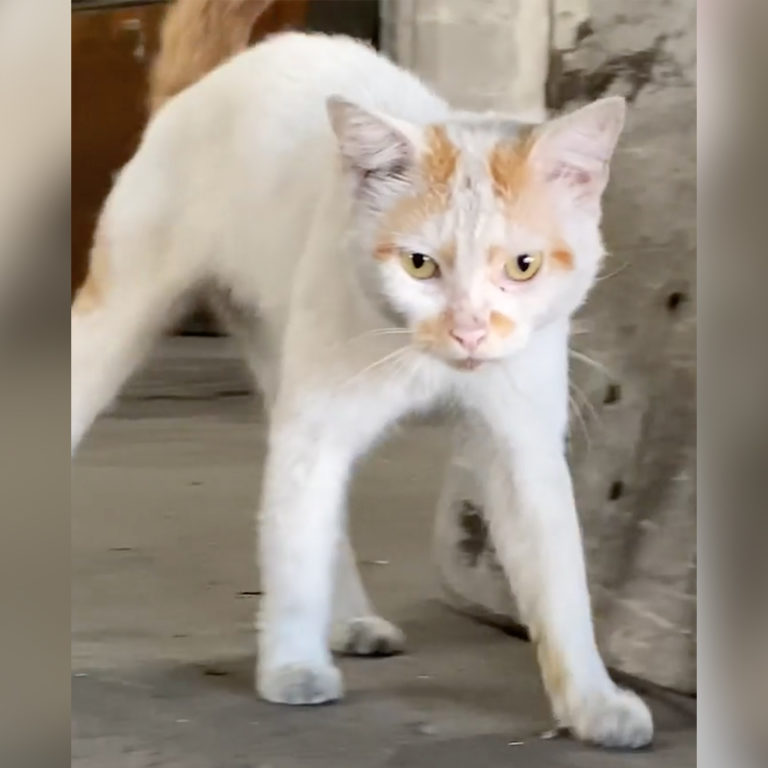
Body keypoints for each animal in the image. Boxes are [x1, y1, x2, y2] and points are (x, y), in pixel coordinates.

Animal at [72, 0, 652, 748]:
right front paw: (291, 664)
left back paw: (348, 619)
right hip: (121, 325)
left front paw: (592, 701)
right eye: (418, 264)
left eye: (522, 266)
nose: (467, 329)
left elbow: (561, 583)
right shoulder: (316, 426)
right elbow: (293, 553)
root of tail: (212, 79)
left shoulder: (522, 449)